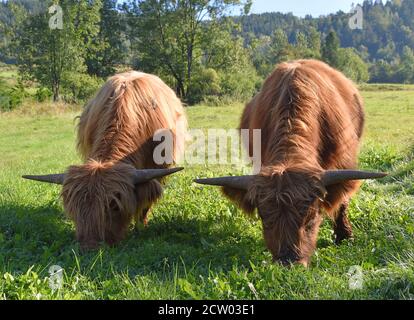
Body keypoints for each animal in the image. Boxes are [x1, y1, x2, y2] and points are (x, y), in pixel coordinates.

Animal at [22, 71, 188, 249]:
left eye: (114, 205)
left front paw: (141, 227)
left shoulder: (157, 171)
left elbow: (146, 202)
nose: (89, 246)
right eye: (73, 207)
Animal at [196, 60, 386, 268]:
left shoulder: (344, 164)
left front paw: (344, 236)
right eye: (265, 218)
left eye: (311, 218)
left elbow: (341, 201)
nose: (289, 262)